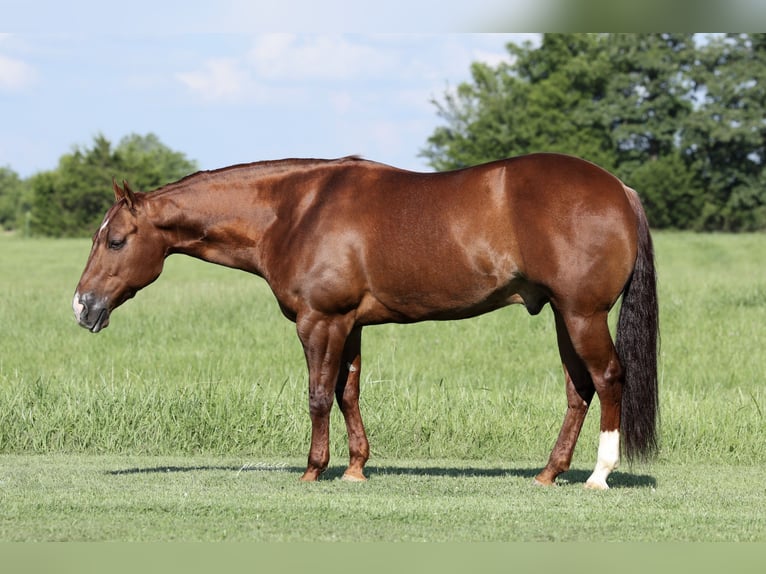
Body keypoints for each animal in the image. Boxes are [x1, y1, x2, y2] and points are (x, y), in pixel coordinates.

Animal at [72, 152, 658, 489]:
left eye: (116, 240)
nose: (82, 305)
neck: (294, 211)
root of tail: (620, 188)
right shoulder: (349, 324)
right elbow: (347, 392)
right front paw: (356, 468)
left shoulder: (319, 321)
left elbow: (316, 394)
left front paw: (313, 469)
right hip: (564, 316)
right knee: (579, 389)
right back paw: (548, 473)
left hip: (582, 315)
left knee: (608, 379)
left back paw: (599, 476)